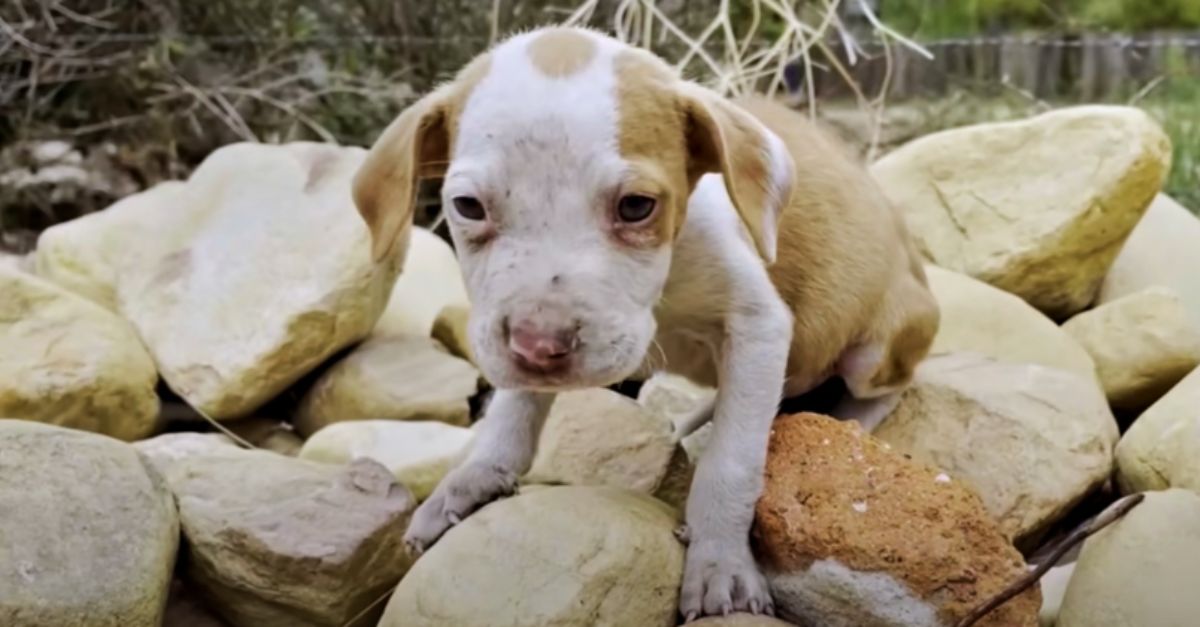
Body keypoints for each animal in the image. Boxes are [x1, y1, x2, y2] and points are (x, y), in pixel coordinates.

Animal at [350, 25, 940, 619]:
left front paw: (720, 562)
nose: (540, 347)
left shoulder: (758, 325)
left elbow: (731, 462)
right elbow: (513, 411)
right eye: (468, 206)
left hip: (878, 349)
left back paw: (849, 422)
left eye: (636, 206)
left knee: (886, 387)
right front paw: (473, 477)